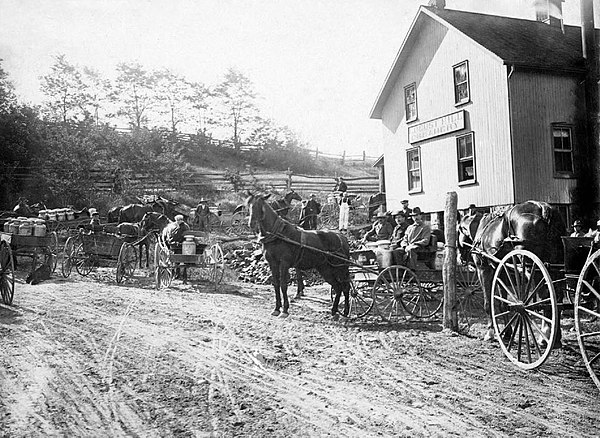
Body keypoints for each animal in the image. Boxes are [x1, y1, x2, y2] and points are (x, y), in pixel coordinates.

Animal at [458, 201, 564, 342]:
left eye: (458, 230)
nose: (461, 258)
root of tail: (543, 208)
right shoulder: (501, 272)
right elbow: (502, 304)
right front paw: (507, 333)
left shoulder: (484, 269)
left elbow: (488, 303)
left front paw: (490, 333)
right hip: (556, 266)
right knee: (558, 297)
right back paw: (555, 335)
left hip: (533, 267)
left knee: (545, 296)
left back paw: (545, 334)